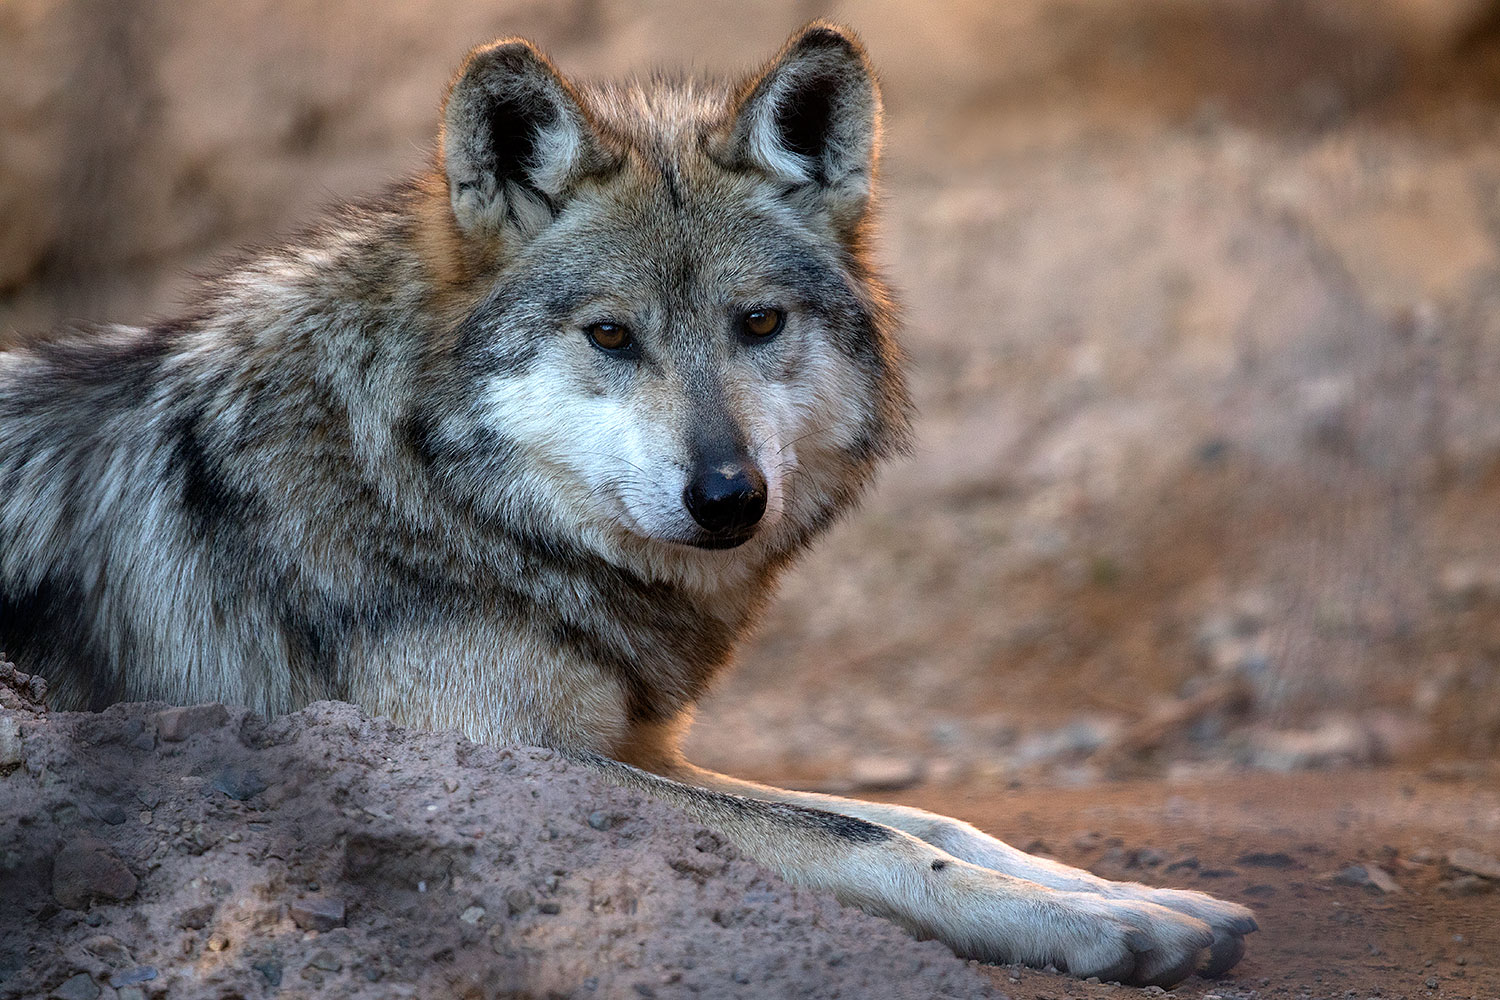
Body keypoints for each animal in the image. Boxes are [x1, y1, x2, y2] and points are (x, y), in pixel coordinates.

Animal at [0, 24, 1254, 985]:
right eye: (610, 334)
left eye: (759, 323)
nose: (729, 495)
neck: (427, 490)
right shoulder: (495, 757)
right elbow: (857, 830)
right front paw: (1095, 923)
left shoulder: (634, 744)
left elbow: (928, 815)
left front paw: (1123, 891)